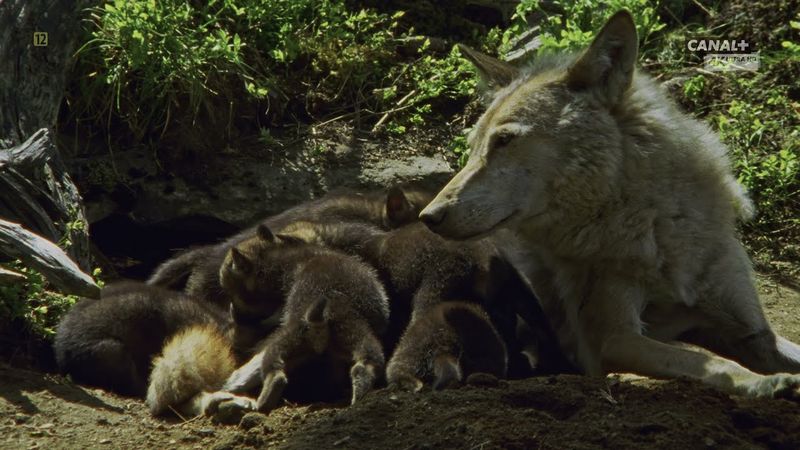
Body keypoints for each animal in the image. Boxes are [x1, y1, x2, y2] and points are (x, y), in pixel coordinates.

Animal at [420, 11, 800, 398]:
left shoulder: (753, 332)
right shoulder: (615, 339)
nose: (429, 216)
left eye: (505, 140)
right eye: (473, 147)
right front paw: (768, 383)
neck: (657, 227)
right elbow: (714, 364)